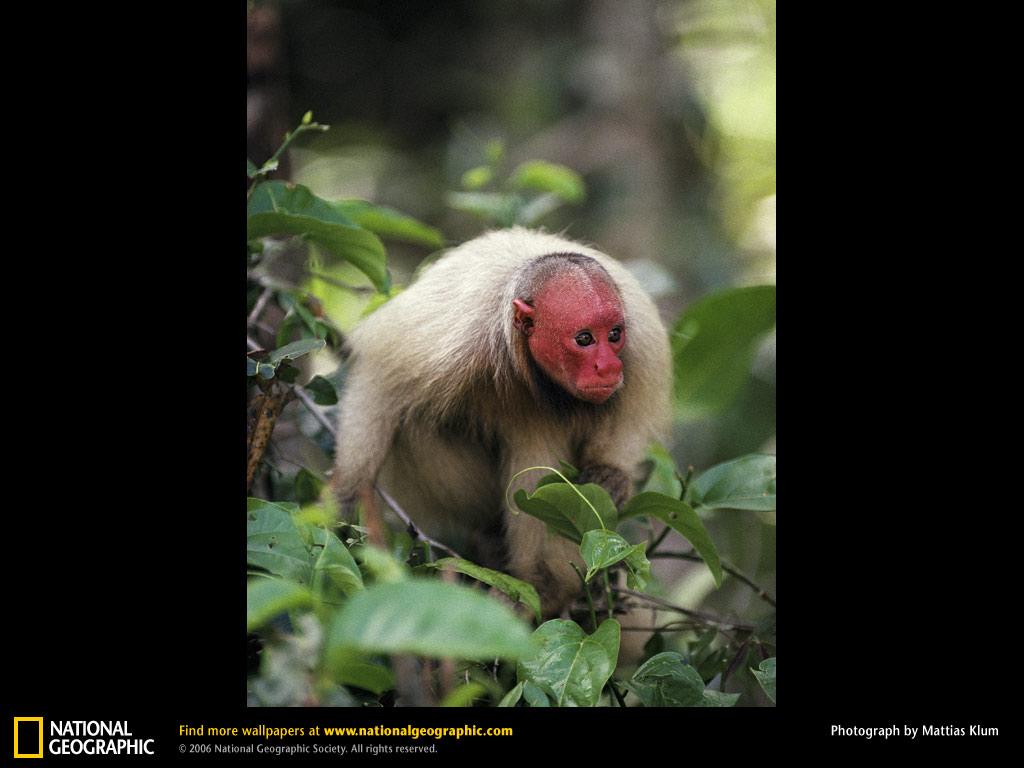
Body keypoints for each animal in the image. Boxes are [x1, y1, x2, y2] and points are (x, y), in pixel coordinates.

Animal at [331, 225, 675, 618]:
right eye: (585, 339)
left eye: (614, 334)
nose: (608, 366)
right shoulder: (445, 344)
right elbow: (380, 383)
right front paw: (346, 498)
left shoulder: (642, 345)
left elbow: (625, 431)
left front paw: (611, 477)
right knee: (423, 421)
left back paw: (544, 585)